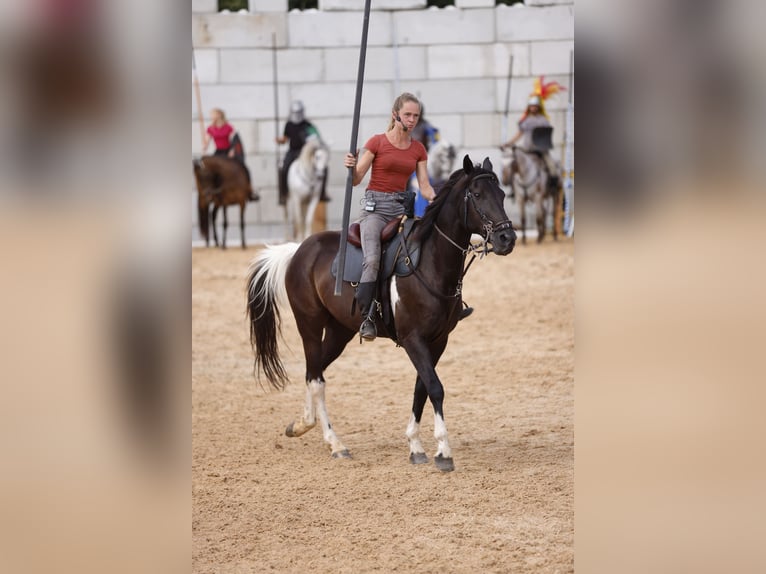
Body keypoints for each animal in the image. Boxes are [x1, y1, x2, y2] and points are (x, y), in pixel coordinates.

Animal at [246, 155, 516, 472]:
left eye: (502, 194)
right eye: (477, 194)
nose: (507, 238)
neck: (430, 263)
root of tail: (300, 249)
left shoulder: (438, 341)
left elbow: (421, 389)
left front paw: (416, 446)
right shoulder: (413, 340)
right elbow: (435, 388)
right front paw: (443, 452)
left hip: (339, 332)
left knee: (314, 371)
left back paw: (302, 424)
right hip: (309, 325)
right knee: (316, 378)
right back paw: (335, 443)